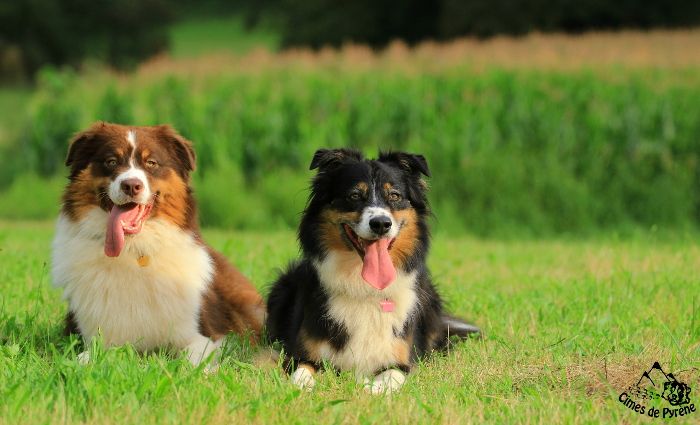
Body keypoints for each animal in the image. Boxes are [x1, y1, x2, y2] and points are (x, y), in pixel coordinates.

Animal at [52, 121, 264, 364]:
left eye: (151, 163)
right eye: (111, 161)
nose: (131, 185)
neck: (133, 248)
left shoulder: (205, 337)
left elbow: (191, 361)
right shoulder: (94, 335)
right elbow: (86, 358)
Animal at [266, 147, 478, 392]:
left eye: (394, 196)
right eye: (354, 195)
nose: (381, 224)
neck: (363, 287)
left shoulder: (401, 361)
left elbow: (387, 380)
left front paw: (367, 389)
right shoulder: (302, 354)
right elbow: (301, 375)